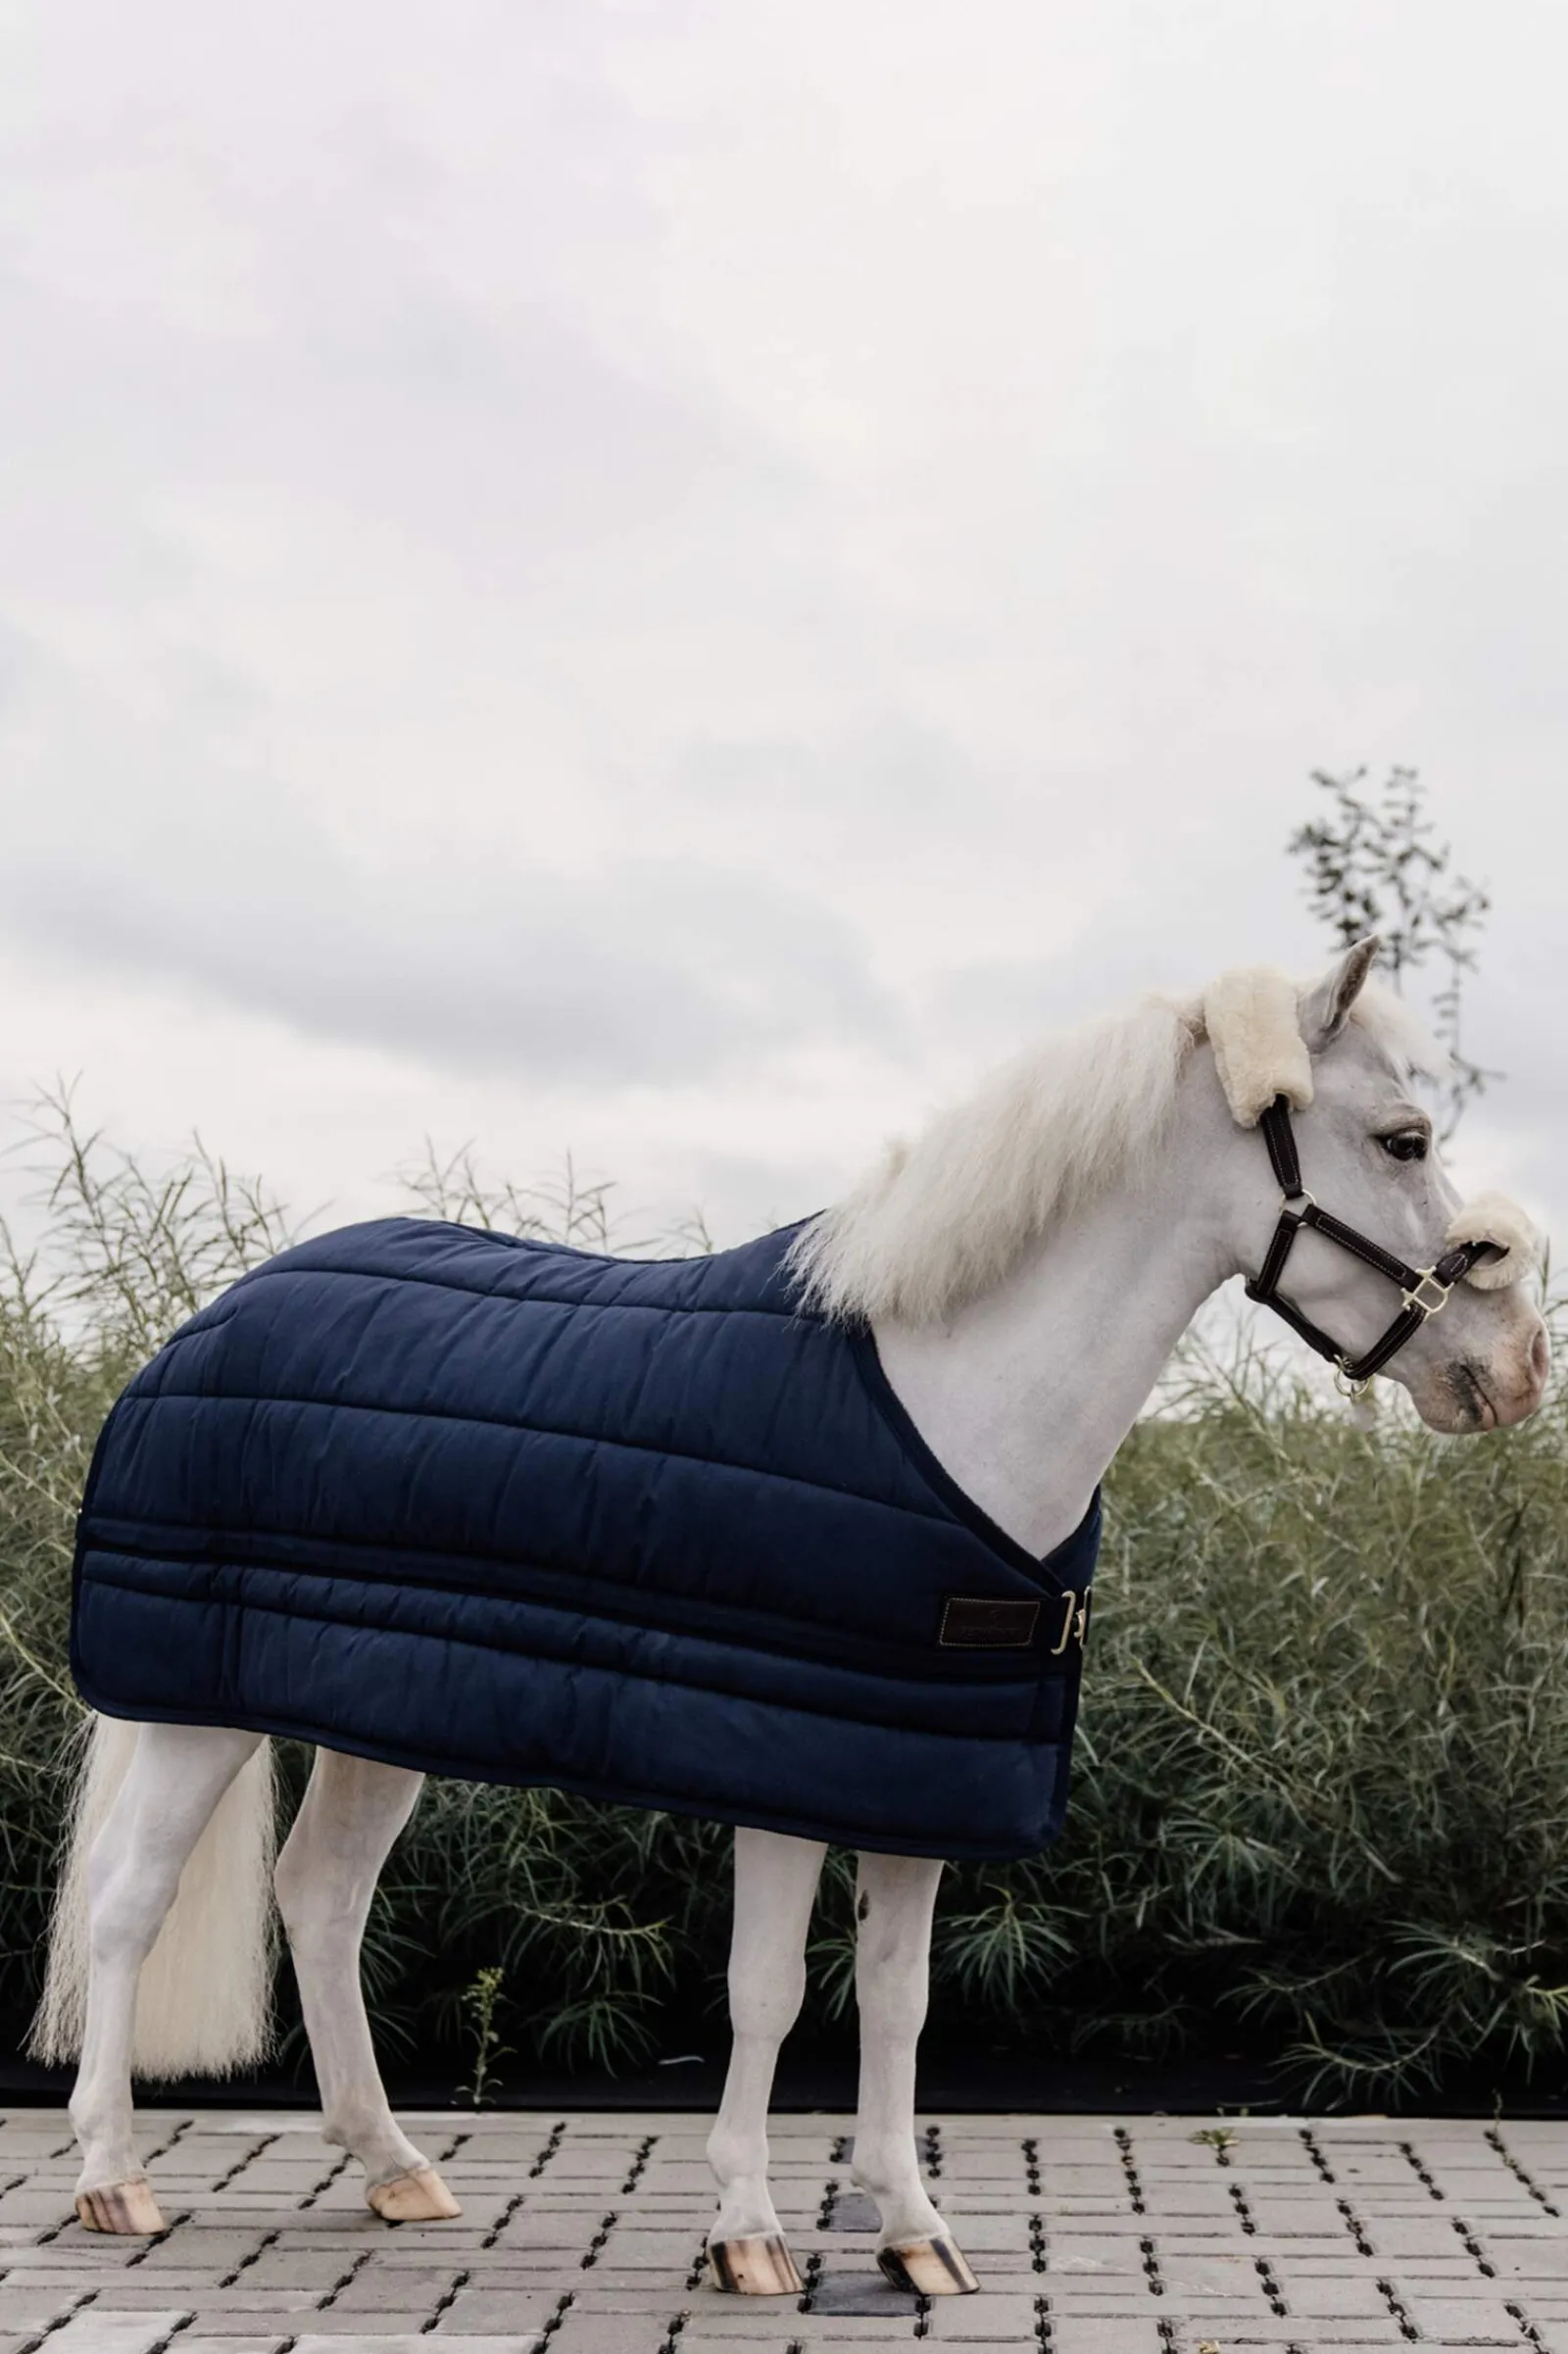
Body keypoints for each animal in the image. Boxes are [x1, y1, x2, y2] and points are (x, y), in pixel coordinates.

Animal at [33, 941, 1549, 2298]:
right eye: (1403, 1137)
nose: (1514, 1366)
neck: (943, 1398)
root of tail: (205, 1321)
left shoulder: (918, 1771)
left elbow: (896, 1994)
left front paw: (912, 2229)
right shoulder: (782, 1770)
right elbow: (765, 1991)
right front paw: (750, 2231)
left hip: (372, 1717)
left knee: (323, 1898)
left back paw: (394, 2164)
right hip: (196, 1709)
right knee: (127, 1899)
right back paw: (113, 2177)